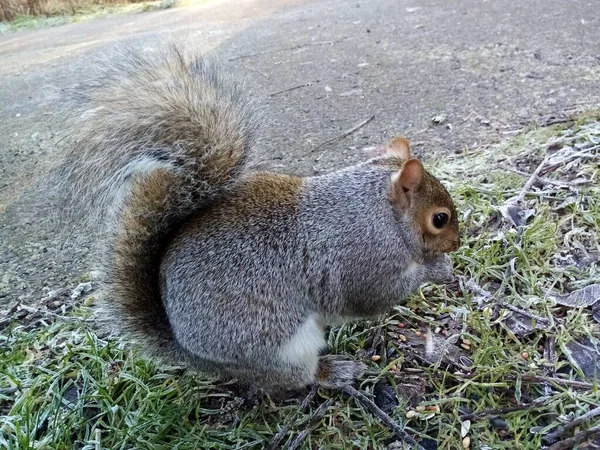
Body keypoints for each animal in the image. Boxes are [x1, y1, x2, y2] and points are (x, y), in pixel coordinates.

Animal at [51, 45, 462, 394]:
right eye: (440, 219)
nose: (457, 243)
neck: (379, 212)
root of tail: (192, 354)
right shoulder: (361, 259)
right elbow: (371, 297)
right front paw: (438, 268)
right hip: (281, 346)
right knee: (296, 378)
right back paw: (333, 371)